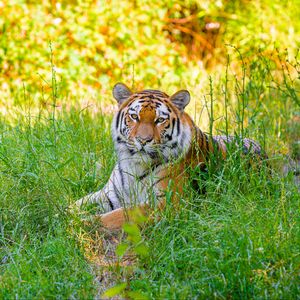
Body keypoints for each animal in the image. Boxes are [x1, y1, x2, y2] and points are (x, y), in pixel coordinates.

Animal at [76, 83, 264, 229]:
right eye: (134, 116)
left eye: (160, 120)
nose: (143, 140)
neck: (134, 165)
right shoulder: (108, 195)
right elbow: (77, 203)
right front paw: (69, 214)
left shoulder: (167, 203)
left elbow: (119, 215)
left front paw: (79, 224)